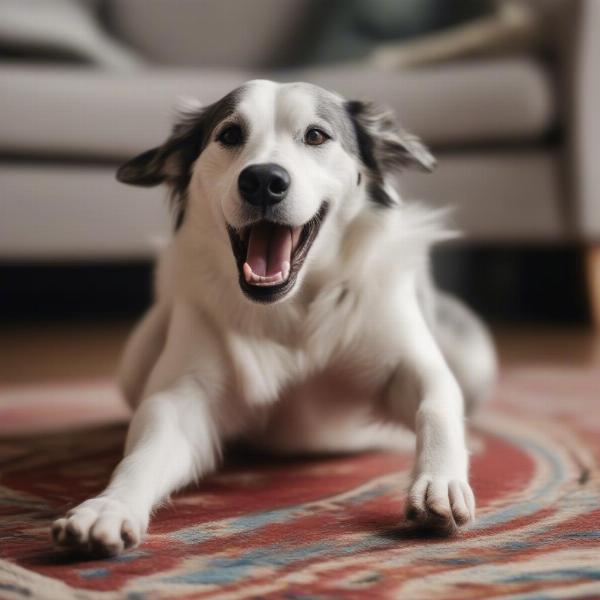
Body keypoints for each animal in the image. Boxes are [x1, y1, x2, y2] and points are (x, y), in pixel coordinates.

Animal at [51, 81, 494, 556]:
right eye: (229, 134)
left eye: (316, 135)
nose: (263, 180)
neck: (289, 307)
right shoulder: (180, 397)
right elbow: (144, 453)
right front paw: (110, 506)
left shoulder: (412, 366)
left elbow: (437, 406)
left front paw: (438, 481)